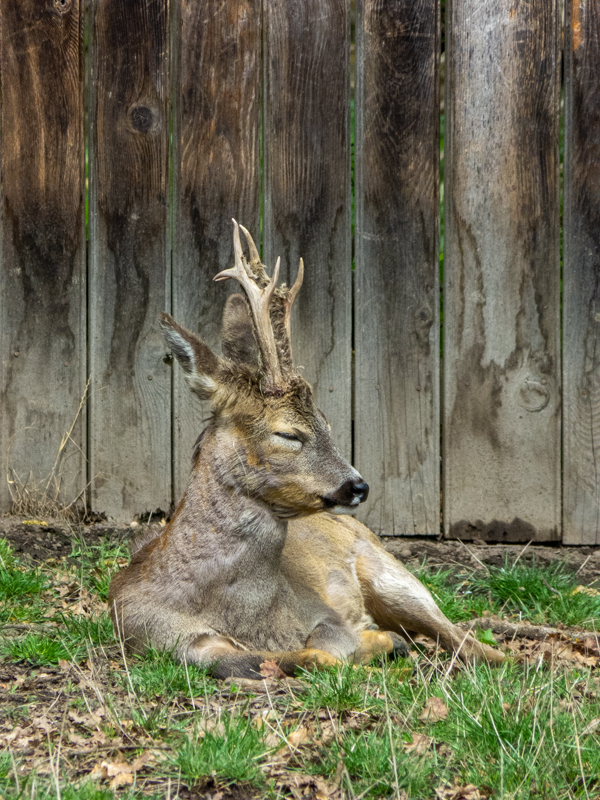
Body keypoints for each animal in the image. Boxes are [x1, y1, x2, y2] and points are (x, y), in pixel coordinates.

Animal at [108, 220, 504, 678]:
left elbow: (326, 648)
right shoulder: (153, 633)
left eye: (327, 424)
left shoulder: (324, 613)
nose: (358, 486)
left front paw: (379, 643)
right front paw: (382, 644)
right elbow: (249, 658)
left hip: (393, 575)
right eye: (289, 434)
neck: (243, 616)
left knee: (468, 641)